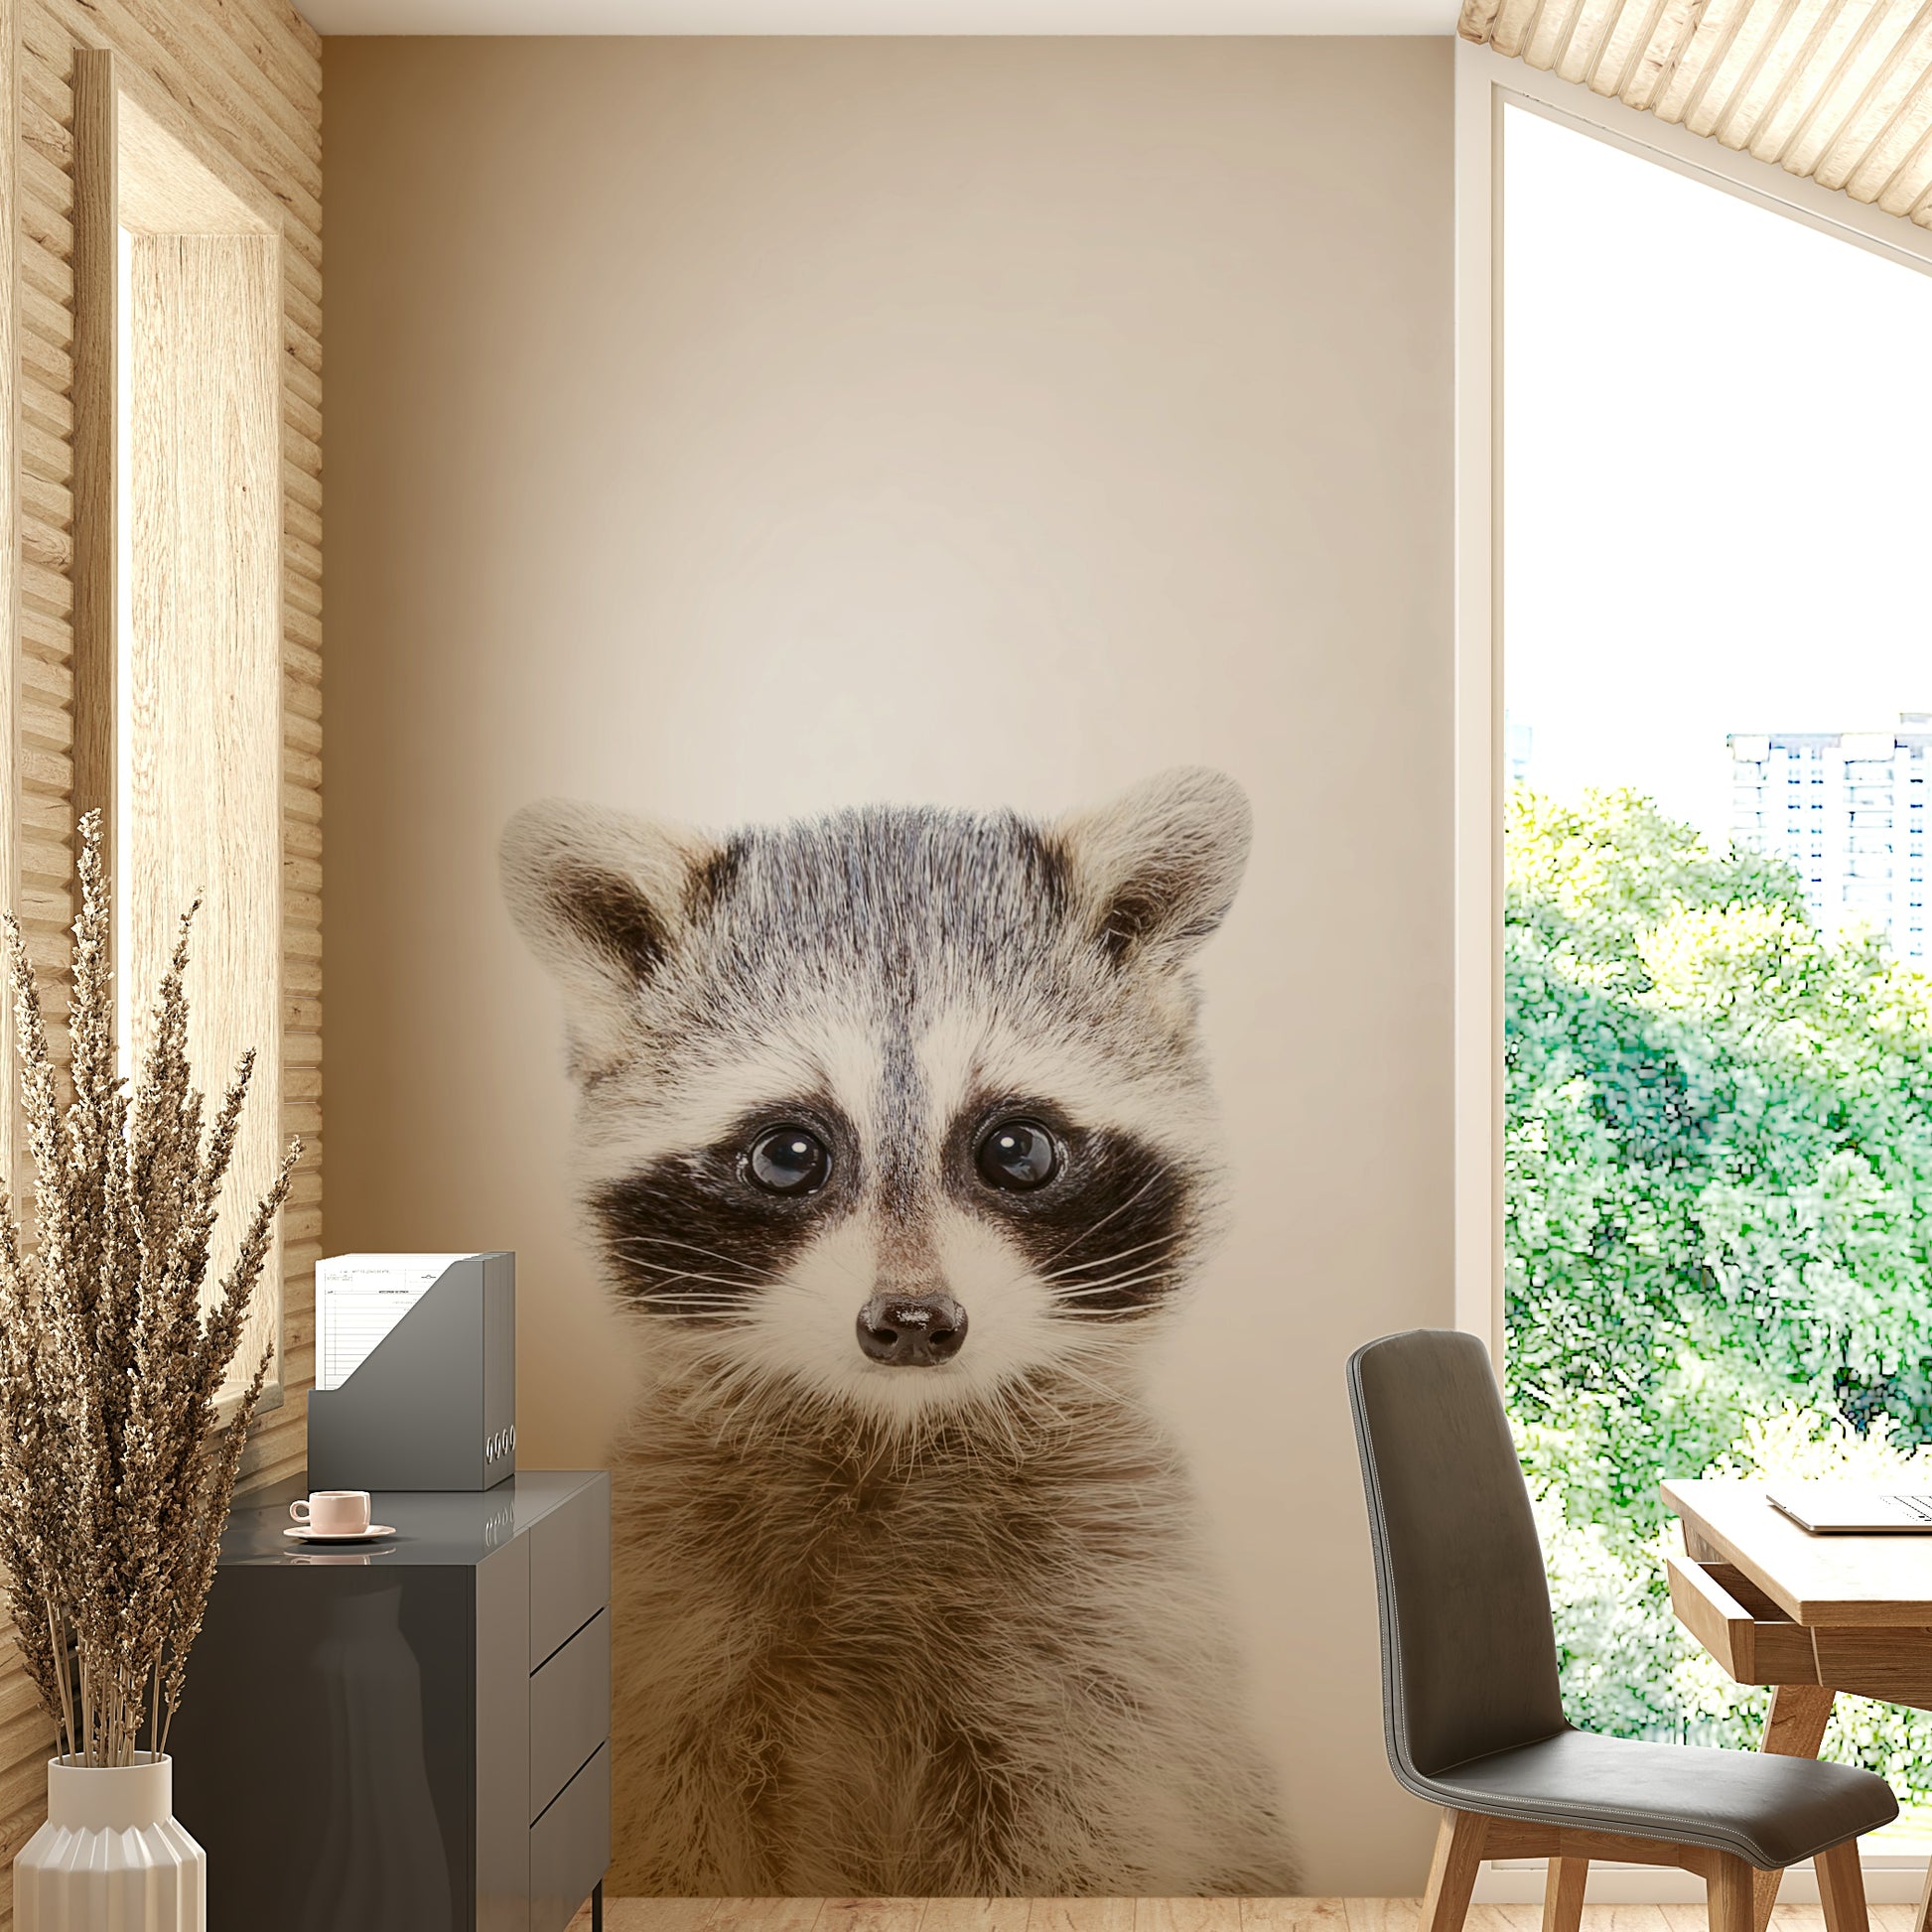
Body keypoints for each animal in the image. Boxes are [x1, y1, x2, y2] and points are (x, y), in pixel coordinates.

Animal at [501, 767, 1297, 1898]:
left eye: (1015, 1148)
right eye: (787, 1153)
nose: (914, 1322)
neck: (893, 1434)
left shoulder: (1113, 1627)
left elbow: (1092, 1842)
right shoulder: (668, 1608)